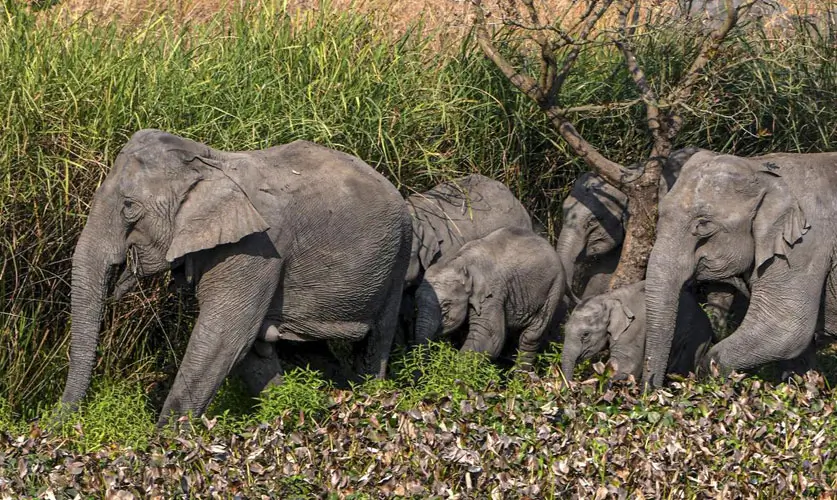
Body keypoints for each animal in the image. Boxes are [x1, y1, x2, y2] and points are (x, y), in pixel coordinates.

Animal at [58, 129, 412, 427]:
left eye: (129, 207)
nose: (59, 427)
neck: (207, 162)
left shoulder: (257, 247)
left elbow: (224, 339)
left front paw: (164, 442)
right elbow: (249, 349)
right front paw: (285, 410)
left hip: (398, 256)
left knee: (375, 344)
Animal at [412, 226, 566, 366]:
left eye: (446, 305)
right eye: (417, 304)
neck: (461, 262)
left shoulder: (493, 293)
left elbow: (488, 339)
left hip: (553, 289)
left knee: (531, 336)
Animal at [643, 150, 837, 388]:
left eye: (703, 224)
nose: (650, 390)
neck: (760, 169)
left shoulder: (803, 247)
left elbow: (786, 330)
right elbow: (797, 353)